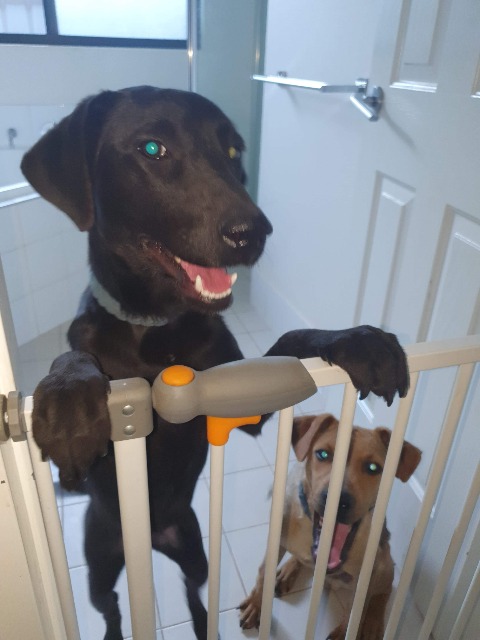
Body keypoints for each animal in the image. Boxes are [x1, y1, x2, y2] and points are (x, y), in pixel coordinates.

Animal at [239, 413, 422, 639]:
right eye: (323, 454)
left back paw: (372, 623)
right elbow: (263, 573)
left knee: (383, 591)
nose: (339, 500)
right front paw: (256, 605)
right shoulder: (277, 539)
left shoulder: (366, 574)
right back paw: (287, 572)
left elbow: (354, 610)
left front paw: (343, 632)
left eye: (373, 468)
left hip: (384, 562)